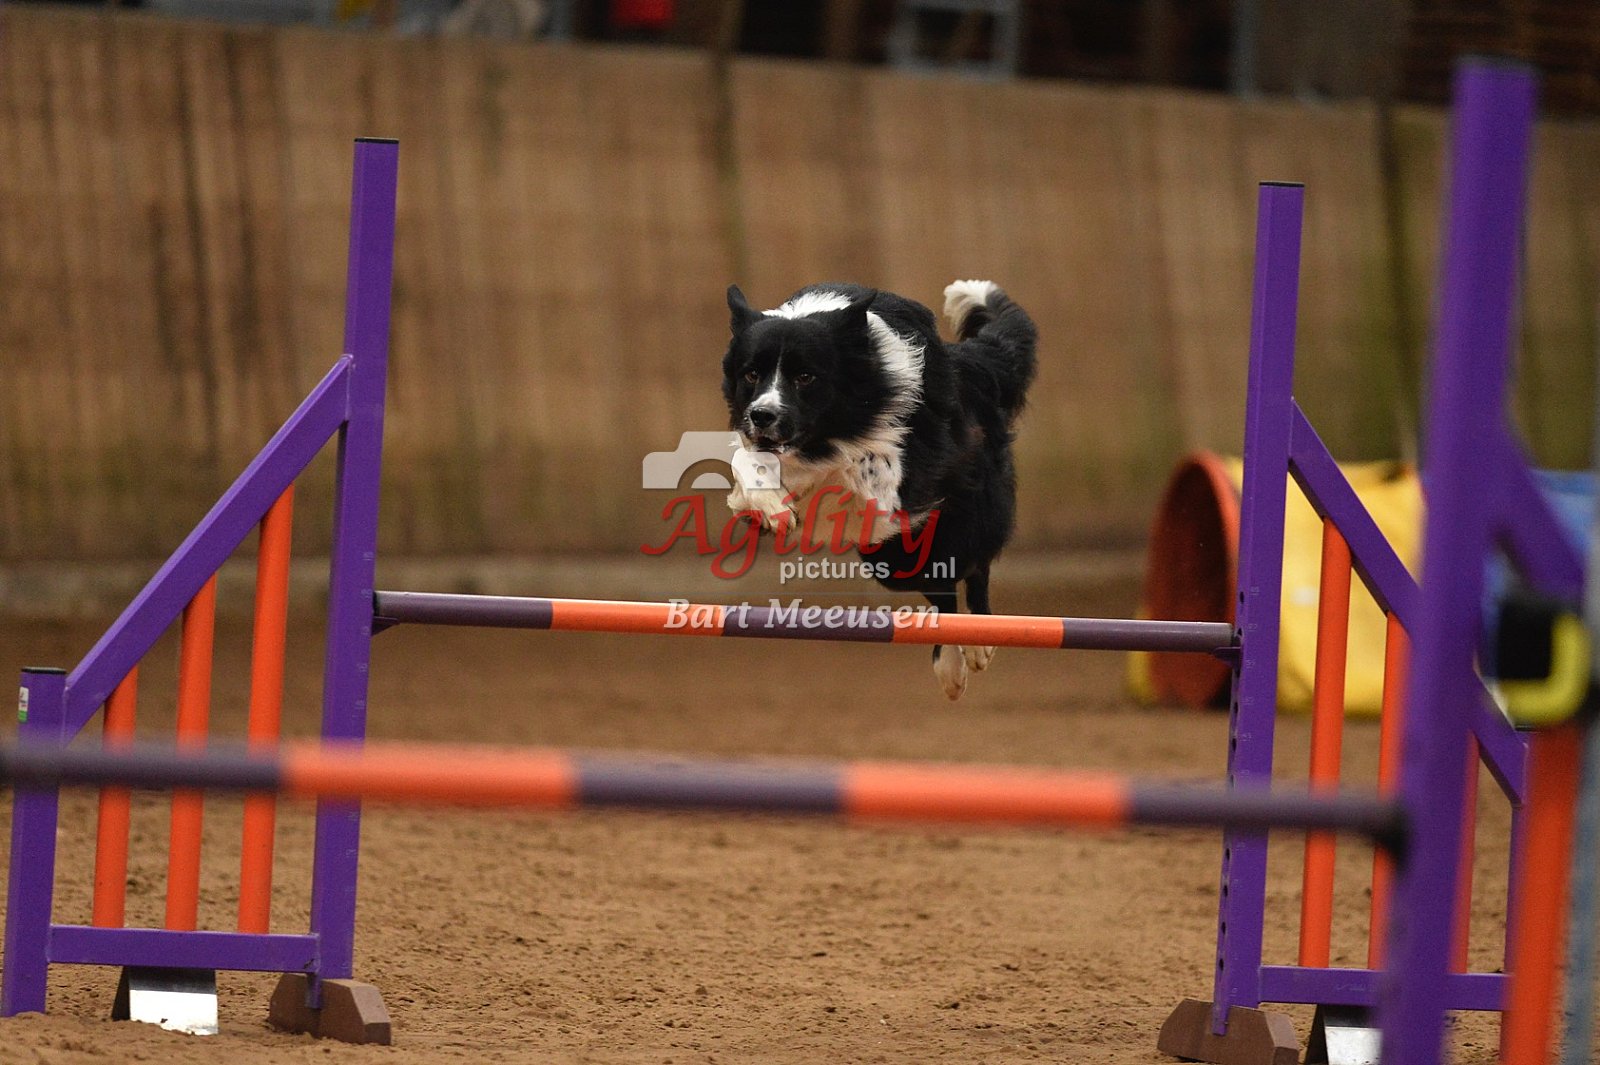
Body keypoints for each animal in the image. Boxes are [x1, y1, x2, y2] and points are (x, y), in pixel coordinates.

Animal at [721, 280, 1038, 699]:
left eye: (806, 377)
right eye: (751, 374)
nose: (761, 416)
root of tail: (967, 364)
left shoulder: (892, 480)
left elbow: (848, 464)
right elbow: (746, 460)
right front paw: (769, 504)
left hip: (940, 523)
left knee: (971, 562)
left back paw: (977, 641)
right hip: (891, 558)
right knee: (940, 584)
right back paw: (951, 665)